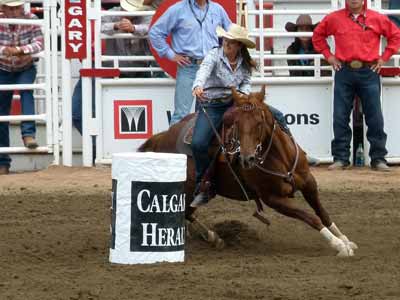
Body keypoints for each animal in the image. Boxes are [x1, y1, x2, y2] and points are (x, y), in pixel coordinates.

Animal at [139, 85, 358, 256]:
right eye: (236, 123)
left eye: (259, 122)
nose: (246, 159)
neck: (281, 158)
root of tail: (163, 136)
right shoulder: (273, 199)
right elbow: (311, 217)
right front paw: (338, 245)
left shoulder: (309, 184)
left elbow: (323, 213)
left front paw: (345, 239)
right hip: (185, 189)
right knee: (184, 213)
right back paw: (210, 237)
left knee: (187, 213)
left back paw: (213, 237)